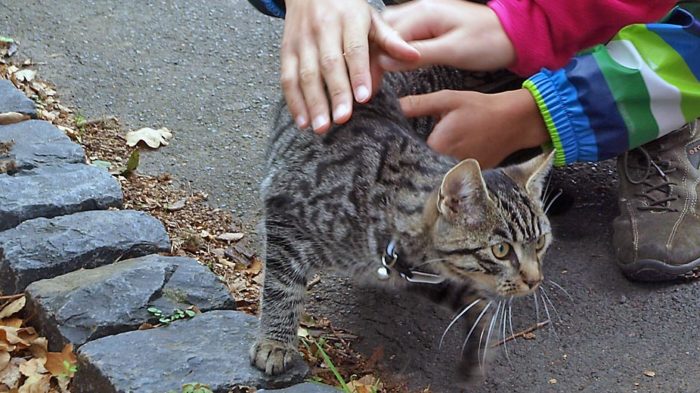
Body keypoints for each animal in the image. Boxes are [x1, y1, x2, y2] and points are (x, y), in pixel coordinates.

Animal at [250, 66, 552, 374]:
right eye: (501, 250)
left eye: (540, 242)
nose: (535, 280)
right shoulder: (284, 216)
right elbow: (282, 288)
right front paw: (276, 342)